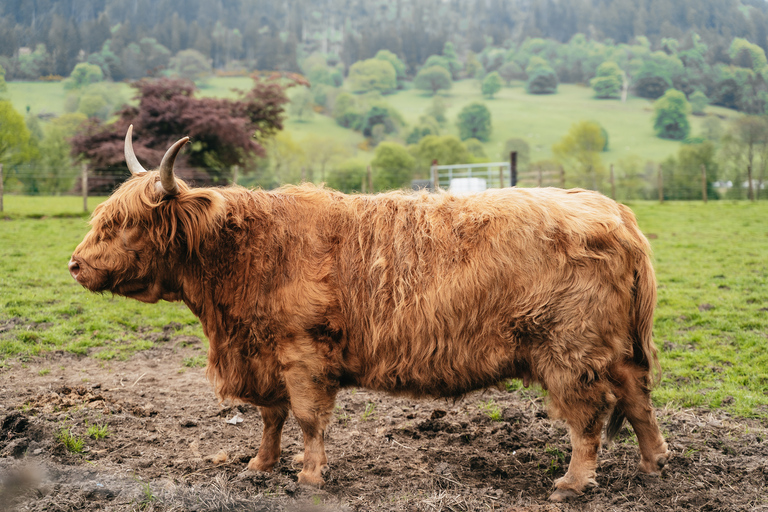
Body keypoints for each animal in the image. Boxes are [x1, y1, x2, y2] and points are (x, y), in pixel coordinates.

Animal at [73, 127, 672, 500]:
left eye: (126, 223)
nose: (76, 264)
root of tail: (612, 211)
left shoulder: (302, 352)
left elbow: (307, 417)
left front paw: (310, 477)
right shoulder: (263, 353)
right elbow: (271, 416)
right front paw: (260, 466)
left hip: (570, 351)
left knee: (588, 416)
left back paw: (572, 483)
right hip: (614, 347)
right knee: (637, 396)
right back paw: (653, 465)